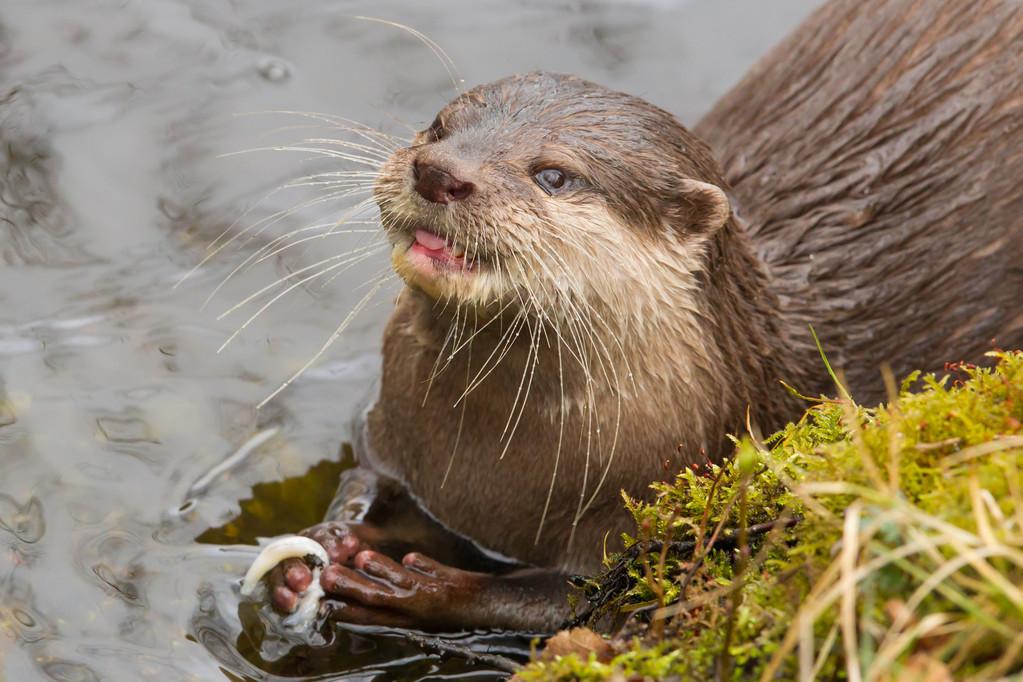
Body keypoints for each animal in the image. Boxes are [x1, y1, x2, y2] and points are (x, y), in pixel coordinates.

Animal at [261, 0, 1023, 633]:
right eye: (439, 127)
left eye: (554, 174)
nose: (439, 172)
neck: (487, 467)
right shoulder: (392, 435)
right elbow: (371, 479)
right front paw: (328, 541)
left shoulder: (654, 499)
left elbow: (575, 601)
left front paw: (419, 588)